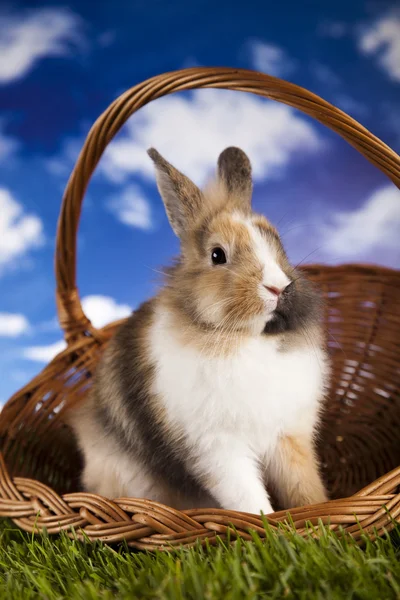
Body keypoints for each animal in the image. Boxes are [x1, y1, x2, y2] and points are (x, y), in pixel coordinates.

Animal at [69, 146, 332, 516]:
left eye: (279, 244)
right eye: (217, 255)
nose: (278, 287)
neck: (246, 339)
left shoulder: (289, 438)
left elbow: (303, 486)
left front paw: (321, 512)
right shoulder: (217, 451)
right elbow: (248, 498)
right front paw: (269, 524)